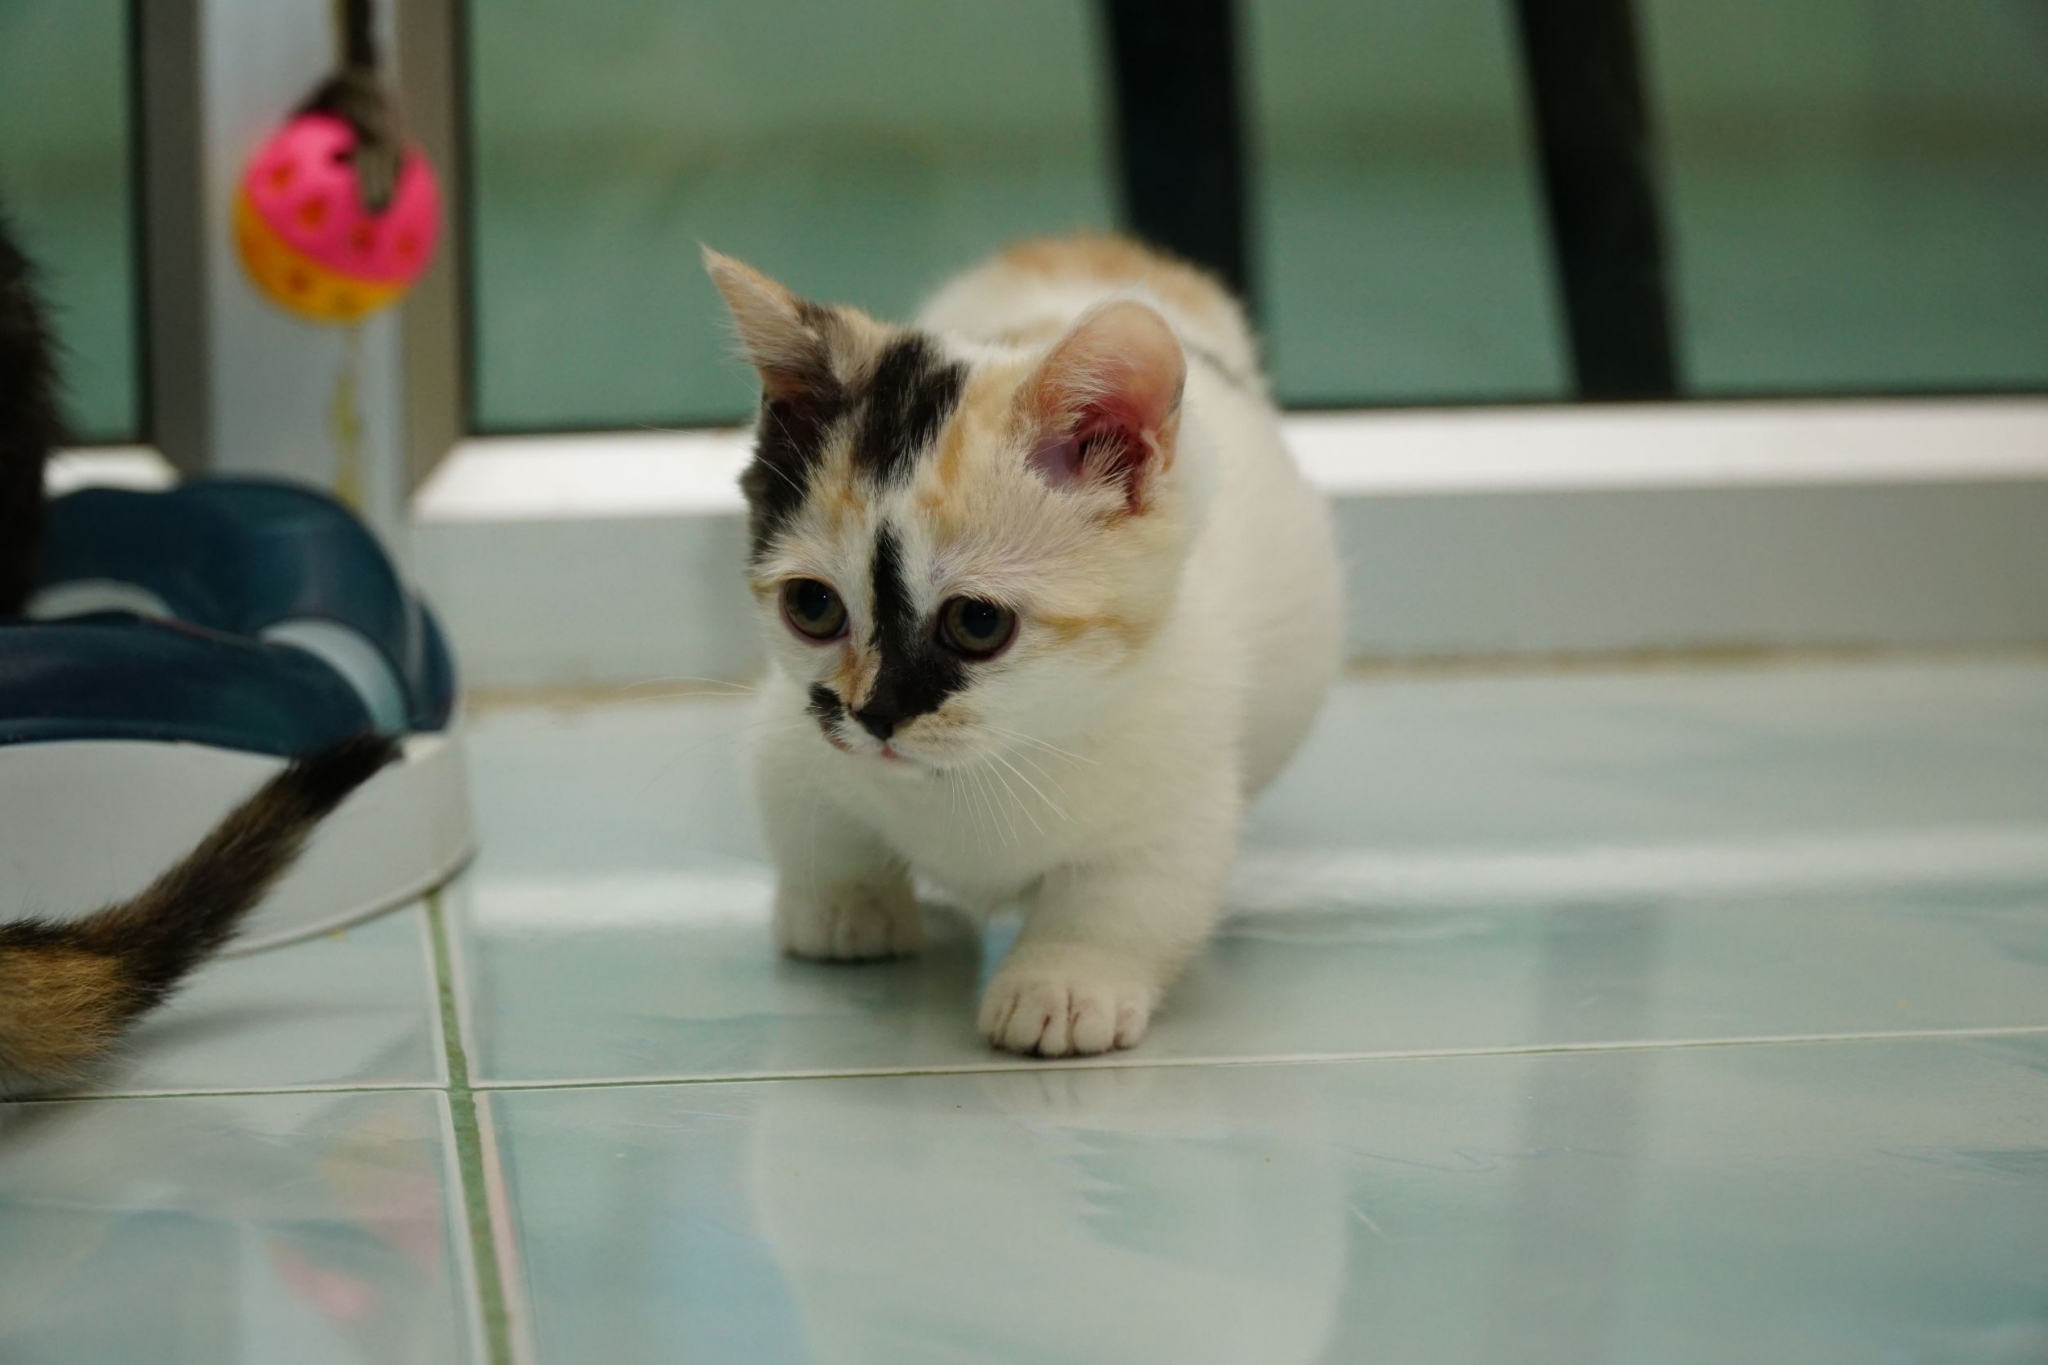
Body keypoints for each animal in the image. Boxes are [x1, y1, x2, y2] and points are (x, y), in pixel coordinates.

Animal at [705, 233, 1341, 1056]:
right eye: (811, 607)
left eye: (977, 623)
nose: (876, 715)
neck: (980, 768)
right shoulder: (789, 729)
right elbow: (807, 815)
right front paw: (845, 907)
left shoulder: (1177, 785)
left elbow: (1125, 897)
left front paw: (1064, 983)